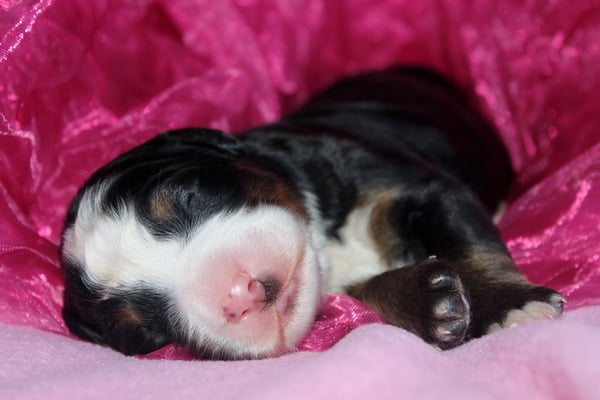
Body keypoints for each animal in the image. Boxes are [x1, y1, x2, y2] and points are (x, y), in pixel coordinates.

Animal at [59, 66, 565, 360]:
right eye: (148, 332)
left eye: (187, 194)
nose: (238, 295)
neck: (326, 246)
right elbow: (373, 290)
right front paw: (428, 301)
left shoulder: (421, 185)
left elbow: (470, 246)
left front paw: (510, 306)